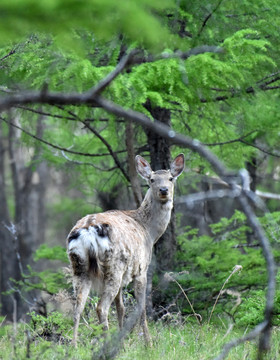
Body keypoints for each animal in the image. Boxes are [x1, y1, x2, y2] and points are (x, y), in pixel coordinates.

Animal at [66, 153, 185, 348]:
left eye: (170, 178)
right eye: (151, 179)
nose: (163, 190)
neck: (149, 231)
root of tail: (88, 229)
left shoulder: (124, 278)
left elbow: (121, 308)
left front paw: (123, 340)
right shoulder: (141, 268)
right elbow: (141, 308)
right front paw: (148, 343)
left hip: (79, 266)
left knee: (77, 308)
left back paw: (74, 346)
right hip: (114, 265)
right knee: (101, 307)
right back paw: (106, 344)